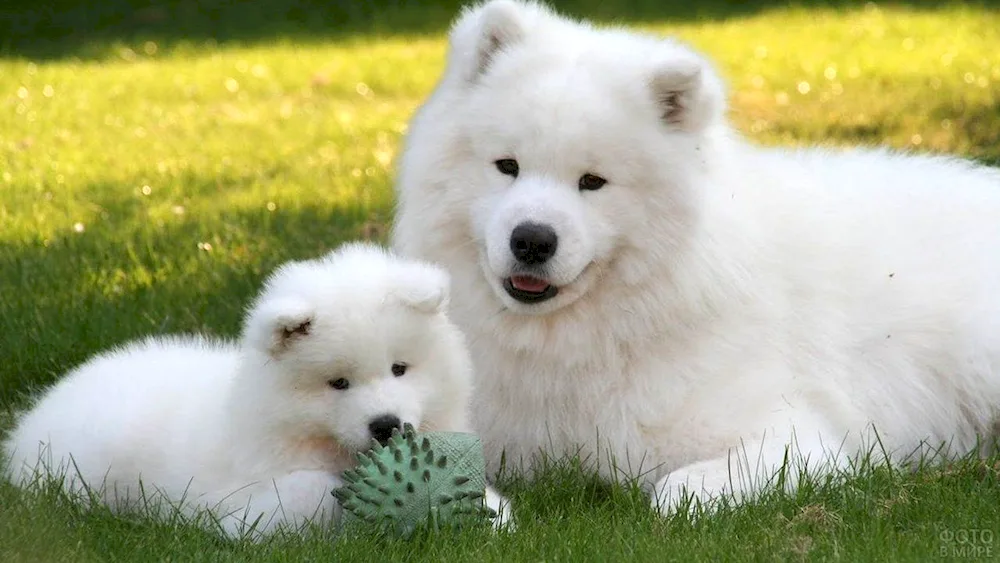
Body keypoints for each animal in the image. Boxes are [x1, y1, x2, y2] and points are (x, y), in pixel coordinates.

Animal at [0, 243, 512, 540]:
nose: (386, 425)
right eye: (338, 383)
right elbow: (311, 491)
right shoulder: (243, 498)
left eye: (399, 369)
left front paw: (493, 518)